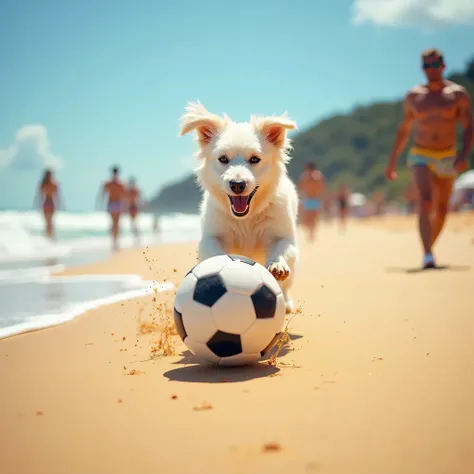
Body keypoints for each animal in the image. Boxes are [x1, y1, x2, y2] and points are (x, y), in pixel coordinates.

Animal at [180, 102, 298, 312]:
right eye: (223, 159)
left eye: (254, 159)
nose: (237, 184)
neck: (246, 218)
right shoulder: (212, 235)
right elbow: (213, 249)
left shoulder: (284, 236)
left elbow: (283, 247)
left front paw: (277, 265)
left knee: (285, 287)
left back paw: (286, 303)